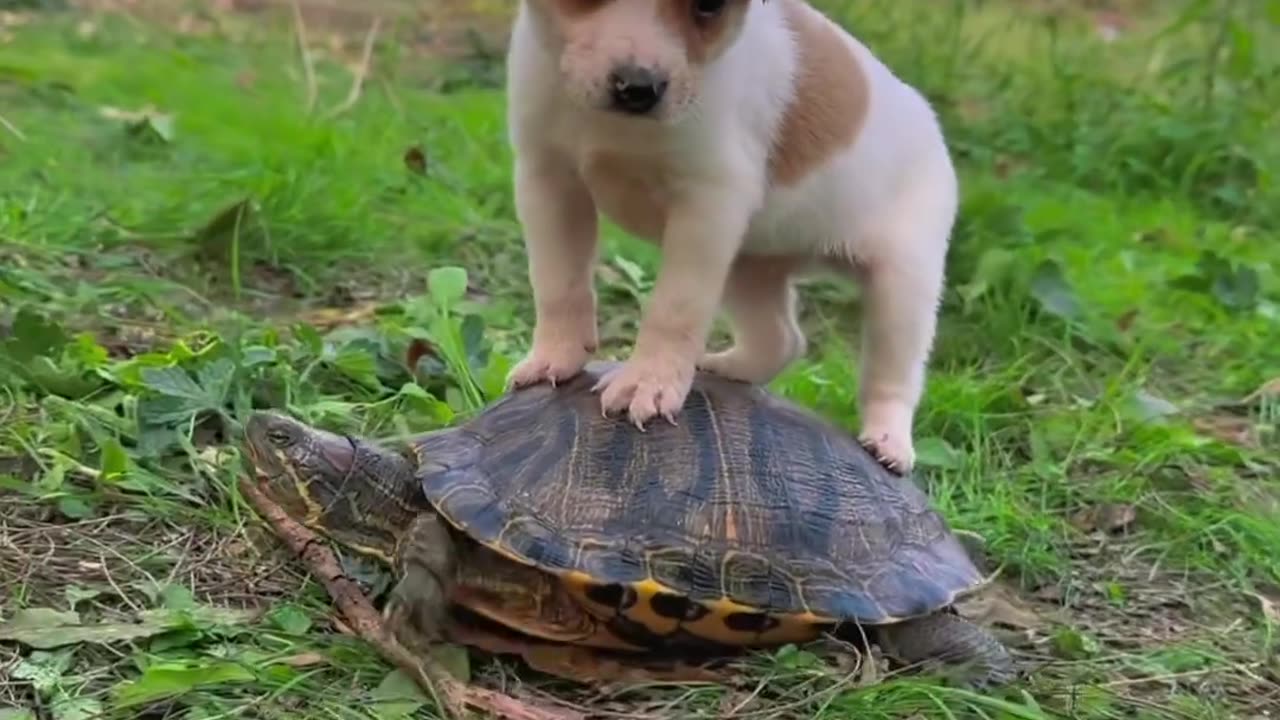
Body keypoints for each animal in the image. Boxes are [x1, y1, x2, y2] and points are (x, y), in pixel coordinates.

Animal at [504, 0, 957, 474]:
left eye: (708, 7)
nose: (638, 87)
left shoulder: (707, 206)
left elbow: (673, 308)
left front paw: (647, 381)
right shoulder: (548, 180)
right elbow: (559, 284)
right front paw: (557, 357)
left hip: (901, 288)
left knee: (894, 376)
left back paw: (889, 441)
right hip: (746, 267)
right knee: (782, 339)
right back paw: (725, 368)